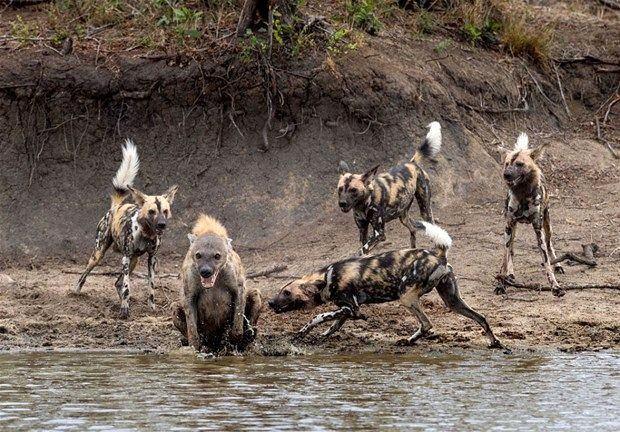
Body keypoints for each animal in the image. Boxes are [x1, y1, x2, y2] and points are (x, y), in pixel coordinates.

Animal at [74, 141, 179, 318]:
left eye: (165, 211)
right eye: (152, 212)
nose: (161, 225)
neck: (146, 233)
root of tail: (116, 207)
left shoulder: (151, 259)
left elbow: (150, 286)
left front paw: (151, 309)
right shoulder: (126, 257)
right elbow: (127, 287)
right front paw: (124, 310)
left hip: (134, 260)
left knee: (117, 283)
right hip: (99, 255)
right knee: (84, 275)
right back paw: (74, 293)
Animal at [170, 214, 262, 352]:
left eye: (217, 256)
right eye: (198, 255)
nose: (205, 271)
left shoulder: (238, 286)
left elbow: (238, 319)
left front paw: (234, 341)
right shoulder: (189, 292)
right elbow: (192, 328)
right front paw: (194, 347)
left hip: (255, 294)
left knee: (255, 297)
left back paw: (248, 336)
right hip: (175, 307)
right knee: (176, 309)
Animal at [268, 221, 502, 350]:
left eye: (286, 293)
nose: (270, 302)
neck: (328, 277)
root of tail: (438, 254)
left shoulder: (350, 308)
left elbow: (317, 318)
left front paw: (302, 333)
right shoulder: (347, 310)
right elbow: (334, 325)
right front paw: (323, 336)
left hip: (406, 297)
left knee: (427, 324)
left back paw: (408, 341)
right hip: (452, 301)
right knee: (481, 318)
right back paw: (494, 342)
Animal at [336, 120, 444, 256]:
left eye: (353, 190)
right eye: (340, 189)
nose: (342, 203)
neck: (364, 203)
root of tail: (412, 163)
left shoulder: (379, 234)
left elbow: (361, 251)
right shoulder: (363, 230)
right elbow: (364, 249)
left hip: (425, 210)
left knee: (432, 227)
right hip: (403, 216)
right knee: (413, 229)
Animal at [496, 132, 564, 296]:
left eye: (519, 164)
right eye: (506, 164)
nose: (506, 174)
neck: (522, 195)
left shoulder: (538, 229)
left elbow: (546, 261)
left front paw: (555, 286)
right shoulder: (508, 226)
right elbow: (505, 258)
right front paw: (502, 283)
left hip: (547, 225)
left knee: (549, 244)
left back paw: (558, 265)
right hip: (511, 230)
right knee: (510, 250)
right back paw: (510, 274)